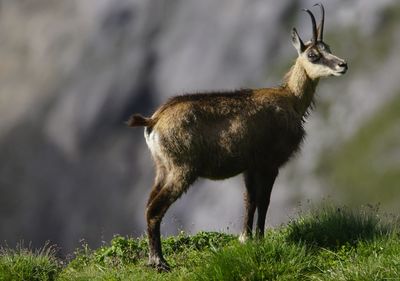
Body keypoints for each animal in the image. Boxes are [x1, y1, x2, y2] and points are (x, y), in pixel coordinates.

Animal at [127, 3, 346, 270]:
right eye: (313, 55)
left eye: (329, 49)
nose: (343, 65)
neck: (291, 100)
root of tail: (154, 120)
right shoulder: (269, 163)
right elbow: (264, 200)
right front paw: (260, 239)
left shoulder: (249, 166)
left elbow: (249, 201)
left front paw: (245, 239)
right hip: (181, 169)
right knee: (155, 209)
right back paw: (159, 261)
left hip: (162, 168)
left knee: (149, 203)